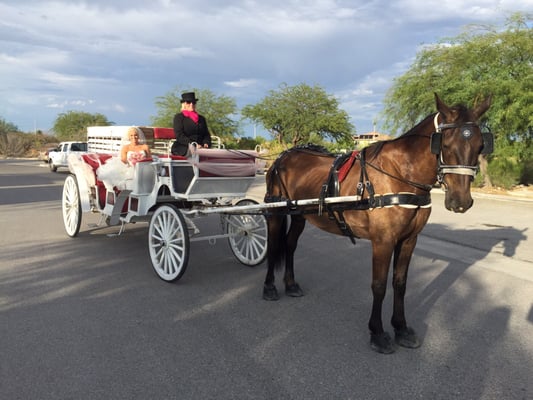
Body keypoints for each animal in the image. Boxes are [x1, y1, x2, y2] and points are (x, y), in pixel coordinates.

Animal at [262, 93, 490, 354]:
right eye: (445, 145)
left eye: (481, 146)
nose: (460, 201)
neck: (400, 174)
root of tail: (282, 156)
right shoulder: (383, 240)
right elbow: (379, 285)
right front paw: (378, 333)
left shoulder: (409, 240)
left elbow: (400, 283)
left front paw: (401, 328)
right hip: (276, 212)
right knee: (274, 246)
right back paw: (269, 288)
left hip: (301, 214)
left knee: (290, 245)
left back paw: (290, 284)